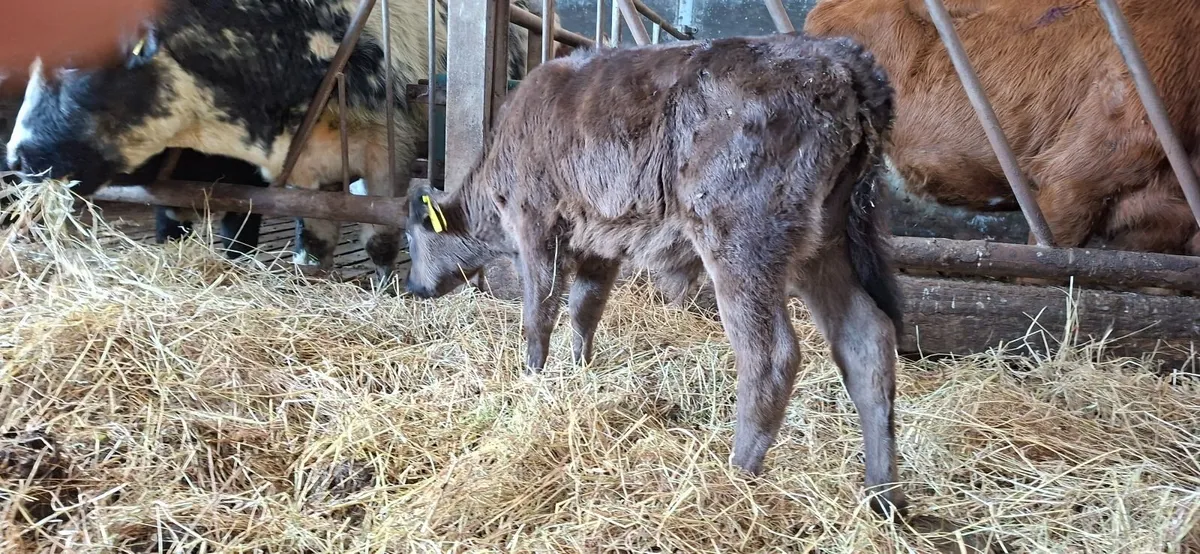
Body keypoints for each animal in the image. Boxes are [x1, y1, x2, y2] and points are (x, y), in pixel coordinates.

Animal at [4, 0, 535, 286]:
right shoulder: (297, 169)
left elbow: (380, 236)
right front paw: (311, 271)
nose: (19, 157)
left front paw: (387, 284)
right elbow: (313, 233)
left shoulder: (389, 147)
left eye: (73, 61)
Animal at [402, 34, 909, 517]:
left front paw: (531, 376)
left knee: (769, 356)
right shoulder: (598, 245)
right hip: (824, 247)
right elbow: (584, 310)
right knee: (866, 339)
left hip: (744, 244)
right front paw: (578, 370)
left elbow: (538, 314)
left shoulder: (537, 226)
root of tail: (840, 56)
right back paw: (884, 497)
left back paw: (736, 478)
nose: (411, 286)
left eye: (409, 239)